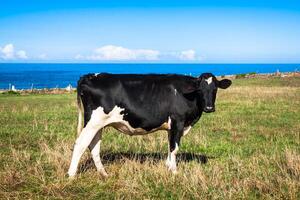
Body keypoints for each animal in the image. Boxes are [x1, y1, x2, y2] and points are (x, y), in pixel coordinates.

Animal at [68, 72, 232, 177]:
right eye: (200, 89)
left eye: (215, 89)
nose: (209, 107)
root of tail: (89, 76)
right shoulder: (178, 122)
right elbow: (175, 148)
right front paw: (174, 171)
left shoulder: (171, 127)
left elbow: (169, 146)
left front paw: (168, 166)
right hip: (93, 122)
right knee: (81, 143)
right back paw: (71, 175)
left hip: (97, 124)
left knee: (94, 145)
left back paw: (104, 173)